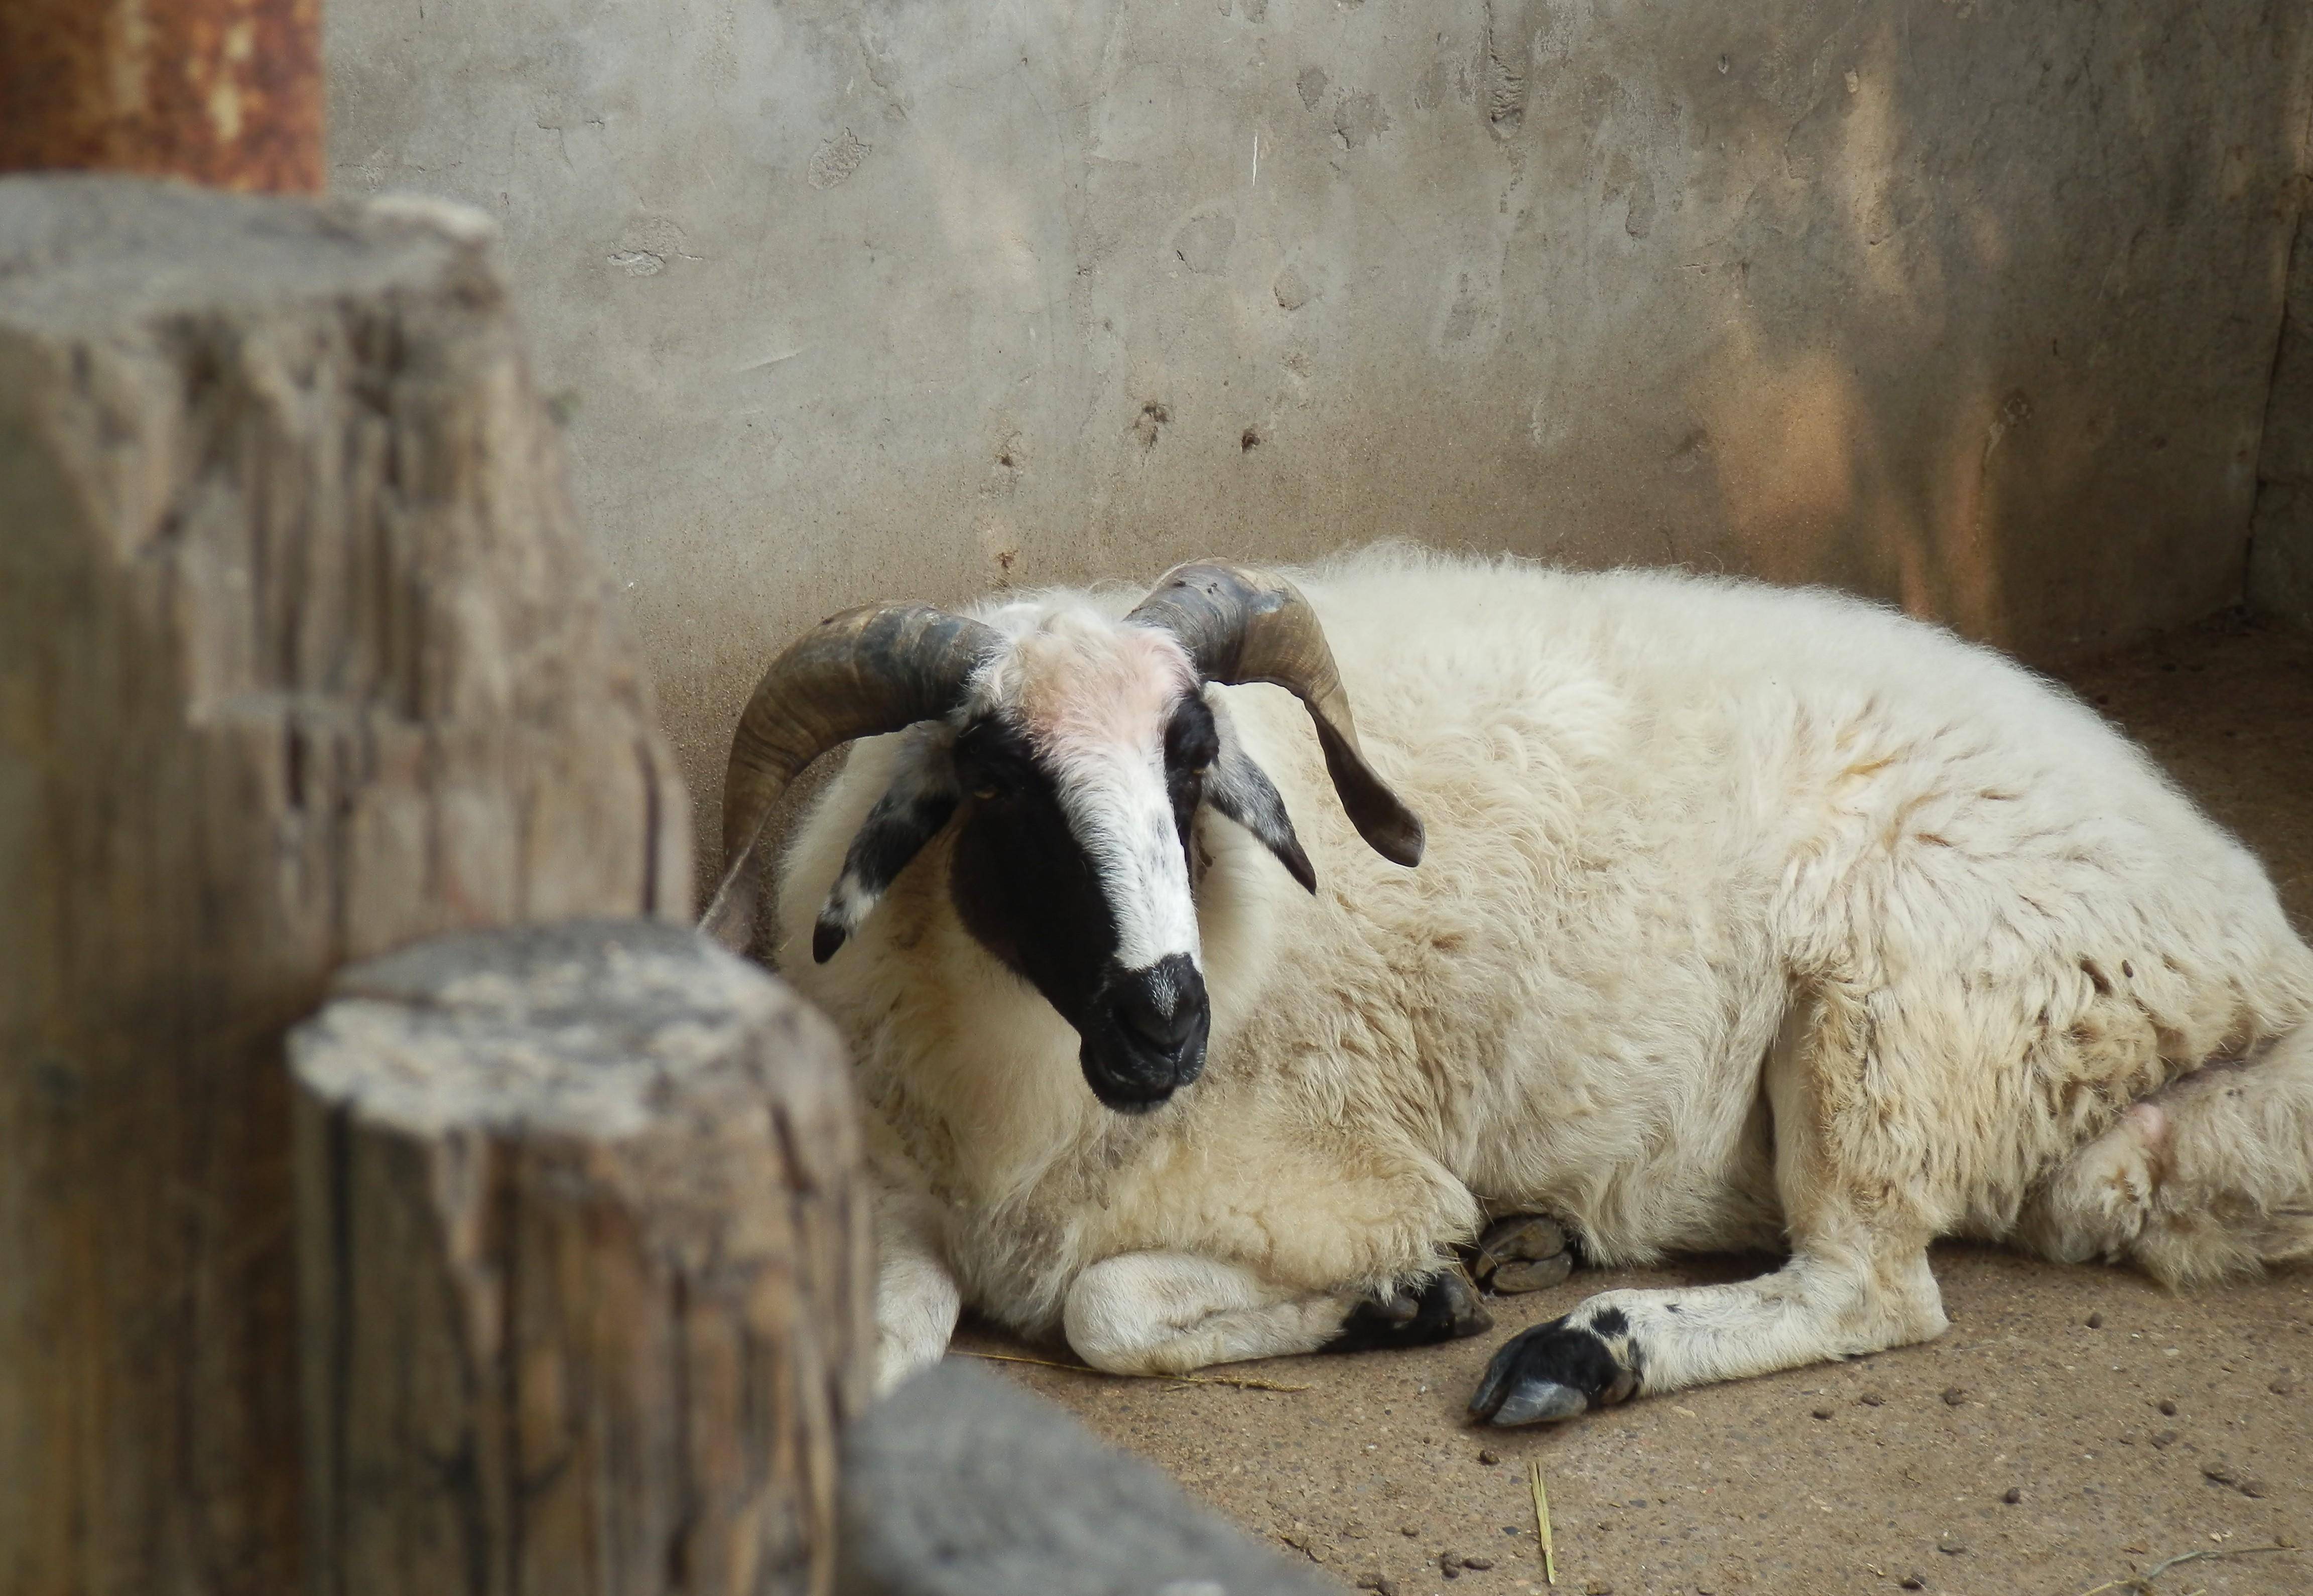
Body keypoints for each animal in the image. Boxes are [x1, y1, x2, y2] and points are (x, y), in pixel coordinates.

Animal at [698, 550, 2313, 1434]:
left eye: (1192, 758)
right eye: (989, 782)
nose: (1165, 1018)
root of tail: (2252, 948)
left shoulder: (1354, 1178)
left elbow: (1105, 1306)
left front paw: (1411, 1298)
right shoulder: (902, 1191)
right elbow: (879, 1349)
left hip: (1886, 1024)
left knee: (1871, 1289)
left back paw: (1578, 1353)